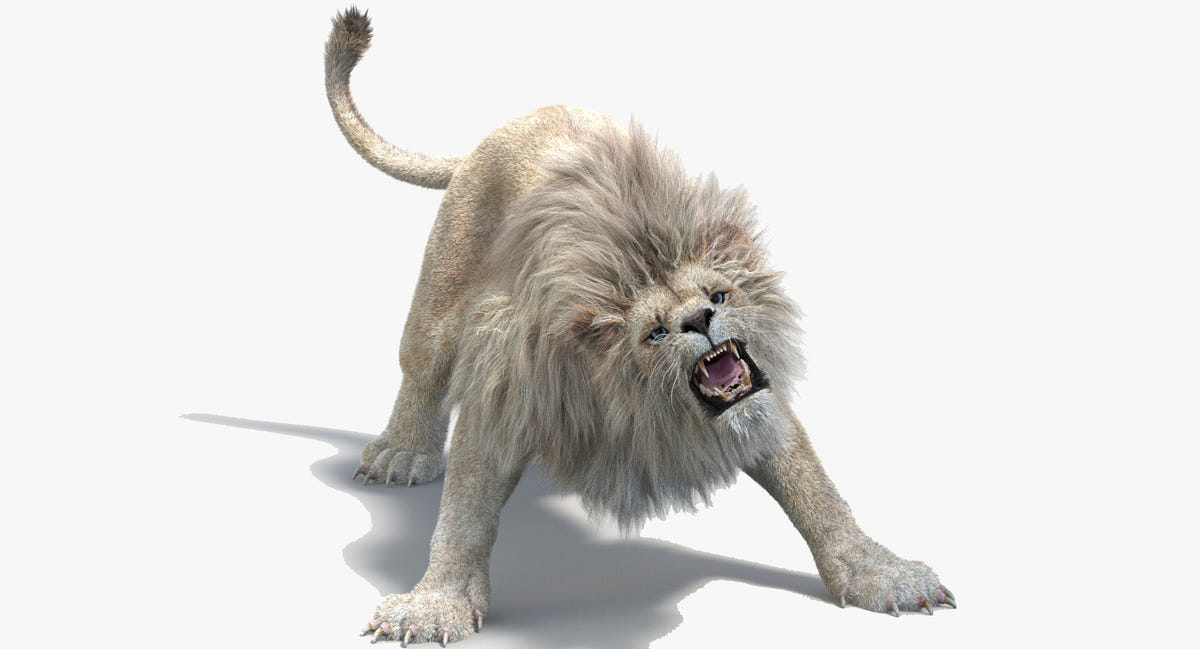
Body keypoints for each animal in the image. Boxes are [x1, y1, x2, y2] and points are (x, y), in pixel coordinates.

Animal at [324, 8, 954, 646]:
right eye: (655, 332)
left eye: (719, 295)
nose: (701, 318)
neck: (638, 396)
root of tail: (501, 130)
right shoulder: (509, 390)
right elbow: (464, 511)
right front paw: (434, 605)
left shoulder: (757, 403)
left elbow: (815, 490)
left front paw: (882, 572)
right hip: (443, 292)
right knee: (421, 368)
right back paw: (401, 456)